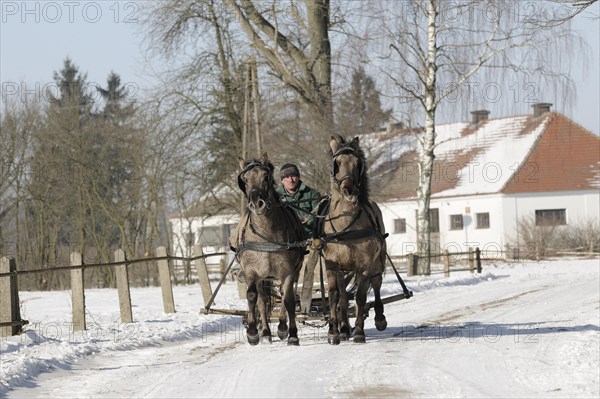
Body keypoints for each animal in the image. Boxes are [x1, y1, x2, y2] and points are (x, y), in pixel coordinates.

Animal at [229, 153, 304, 346]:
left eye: (265, 176)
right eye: (245, 179)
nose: (257, 203)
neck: (265, 234)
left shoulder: (288, 272)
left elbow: (289, 299)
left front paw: (291, 333)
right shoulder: (251, 271)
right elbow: (252, 297)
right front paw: (253, 332)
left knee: (284, 295)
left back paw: (282, 328)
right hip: (262, 277)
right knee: (262, 300)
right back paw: (265, 332)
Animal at [318, 136, 390, 346]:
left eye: (358, 164)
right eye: (337, 163)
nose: (349, 190)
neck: (346, 226)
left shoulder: (365, 265)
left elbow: (360, 297)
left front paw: (358, 332)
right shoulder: (331, 265)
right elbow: (334, 296)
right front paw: (333, 332)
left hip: (377, 261)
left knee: (376, 284)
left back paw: (379, 318)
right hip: (343, 270)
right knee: (343, 295)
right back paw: (343, 329)